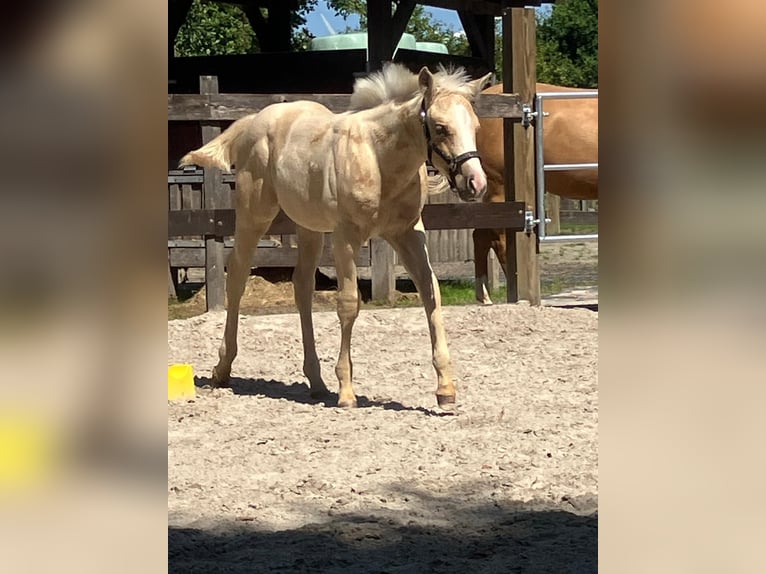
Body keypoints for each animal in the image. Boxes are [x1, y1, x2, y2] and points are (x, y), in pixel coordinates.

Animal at [180, 63, 492, 409]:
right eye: (440, 128)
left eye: (476, 127)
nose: (476, 183)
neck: (379, 160)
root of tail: (256, 119)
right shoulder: (347, 238)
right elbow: (348, 303)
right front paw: (346, 391)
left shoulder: (408, 233)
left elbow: (430, 292)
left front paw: (446, 389)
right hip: (254, 215)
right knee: (237, 276)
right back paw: (222, 369)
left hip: (309, 227)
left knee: (302, 286)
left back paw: (316, 381)